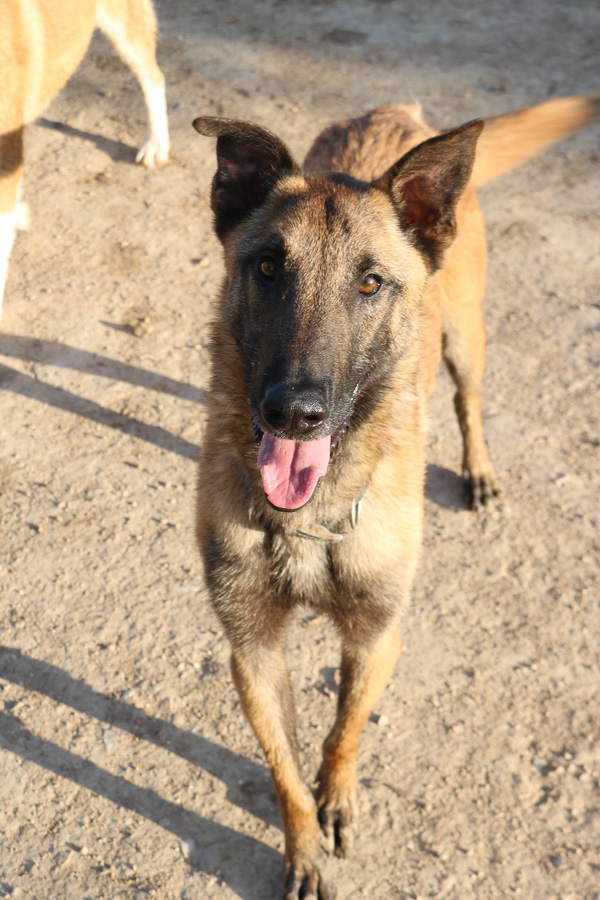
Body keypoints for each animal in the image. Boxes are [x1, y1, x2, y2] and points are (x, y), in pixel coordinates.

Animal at [193, 94, 598, 899]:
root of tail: (396, 113)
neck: (312, 519)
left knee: (470, 401)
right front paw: (304, 848)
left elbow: (344, 732)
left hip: (466, 340)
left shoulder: (376, 637)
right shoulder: (252, 651)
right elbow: (284, 774)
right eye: (267, 268)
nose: (295, 413)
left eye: (370, 283)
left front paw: (339, 799)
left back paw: (479, 471)